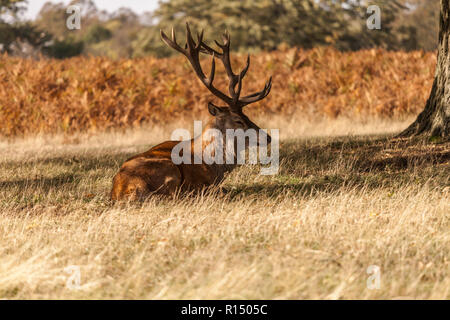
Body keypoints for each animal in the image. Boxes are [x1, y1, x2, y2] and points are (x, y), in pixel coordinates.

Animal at [110, 23, 272, 200]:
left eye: (247, 116)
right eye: (238, 120)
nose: (268, 137)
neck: (214, 164)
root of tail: (121, 190)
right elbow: (221, 189)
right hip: (170, 170)